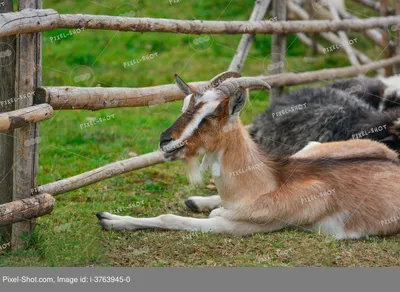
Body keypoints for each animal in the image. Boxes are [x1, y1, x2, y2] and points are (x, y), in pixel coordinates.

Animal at [97, 71, 400, 240]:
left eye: (209, 115)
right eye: (184, 106)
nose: (165, 141)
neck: (261, 185)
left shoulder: (238, 227)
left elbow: (170, 219)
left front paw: (110, 220)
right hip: (311, 146)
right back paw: (197, 201)